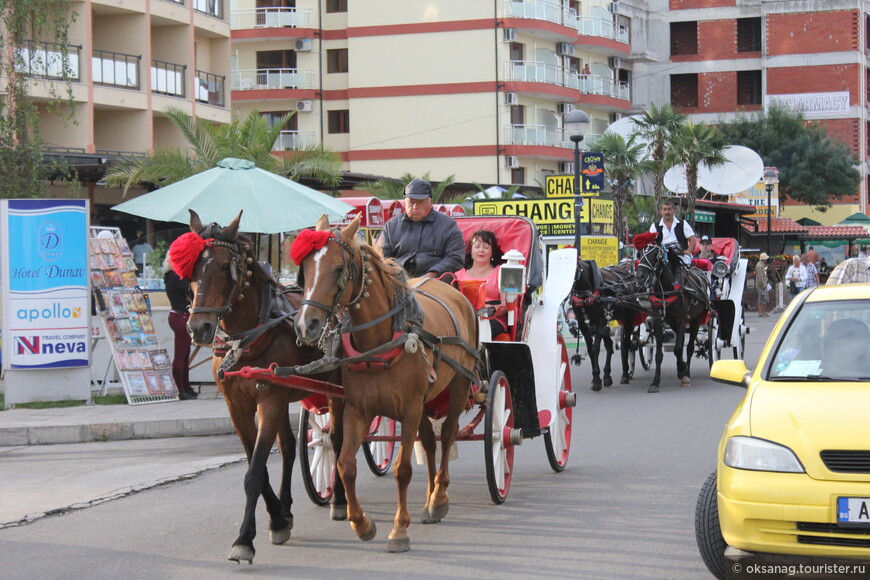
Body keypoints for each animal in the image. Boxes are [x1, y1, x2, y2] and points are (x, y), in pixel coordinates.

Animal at [182, 211, 346, 564]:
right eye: (192, 269)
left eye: (224, 266)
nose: (198, 328)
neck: (250, 338)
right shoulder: (238, 406)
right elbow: (259, 464)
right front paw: (278, 518)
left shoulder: (268, 401)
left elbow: (255, 472)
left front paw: (244, 538)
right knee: (289, 447)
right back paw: (287, 507)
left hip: (335, 389)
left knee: (339, 440)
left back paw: (339, 499)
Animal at [296, 214, 480, 552]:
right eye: (304, 269)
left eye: (338, 268)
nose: (306, 325)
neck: (379, 341)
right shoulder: (358, 410)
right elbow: (345, 465)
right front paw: (361, 523)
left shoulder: (408, 409)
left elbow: (402, 470)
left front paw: (399, 529)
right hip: (424, 402)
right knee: (430, 442)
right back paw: (429, 499)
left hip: (460, 384)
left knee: (447, 436)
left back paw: (439, 497)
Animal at [572, 260, 640, 392]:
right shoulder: (583, 324)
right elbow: (590, 349)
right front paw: (596, 377)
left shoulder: (601, 320)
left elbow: (595, 348)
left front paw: (597, 380)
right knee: (609, 345)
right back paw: (607, 376)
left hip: (628, 318)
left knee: (626, 344)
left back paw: (625, 374)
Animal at [636, 240, 712, 394]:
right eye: (640, 253)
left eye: (655, 254)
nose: (640, 276)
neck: (668, 289)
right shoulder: (658, 321)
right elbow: (659, 354)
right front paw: (655, 382)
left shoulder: (681, 319)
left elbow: (678, 349)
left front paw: (683, 369)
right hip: (672, 322)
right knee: (681, 342)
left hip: (695, 319)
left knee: (689, 347)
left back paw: (686, 373)